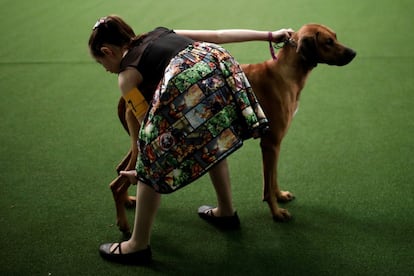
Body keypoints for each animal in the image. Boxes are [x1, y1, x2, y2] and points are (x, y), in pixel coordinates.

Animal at [109, 22, 356, 232]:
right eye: (328, 42)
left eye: (335, 36)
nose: (353, 53)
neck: (285, 73)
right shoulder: (271, 142)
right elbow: (268, 185)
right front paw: (276, 213)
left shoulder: (275, 144)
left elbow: (273, 177)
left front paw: (280, 194)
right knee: (118, 182)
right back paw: (123, 224)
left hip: (137, 142)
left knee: (120, 171)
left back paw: (129, 201)